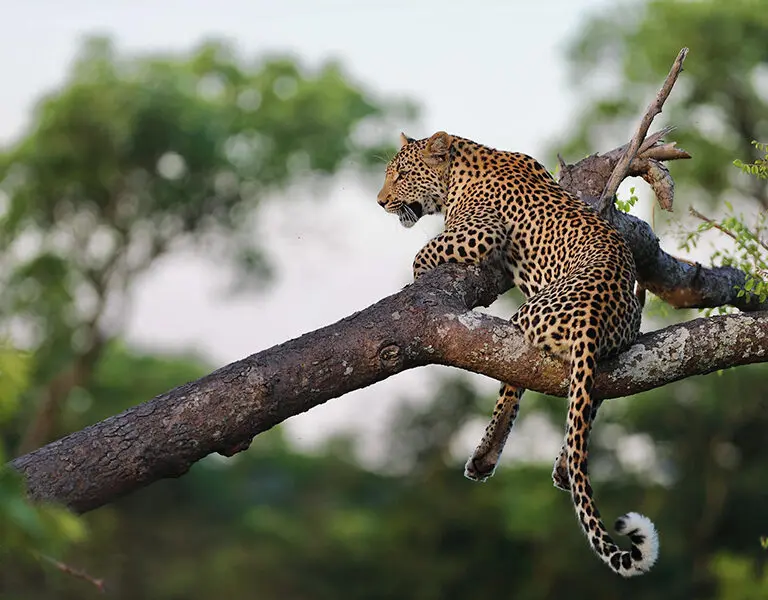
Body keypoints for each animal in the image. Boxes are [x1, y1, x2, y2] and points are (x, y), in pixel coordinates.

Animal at [376, 131, 659, 577]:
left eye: (401, 175)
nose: (381, 201)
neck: (462, 163)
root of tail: (594, 317)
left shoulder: (480, 229)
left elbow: (421, 255)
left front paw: (418, 274)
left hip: (524, 318)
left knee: (514, 382)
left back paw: (485, 456)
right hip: (616, 347)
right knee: (588, 401)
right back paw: (562, 465)